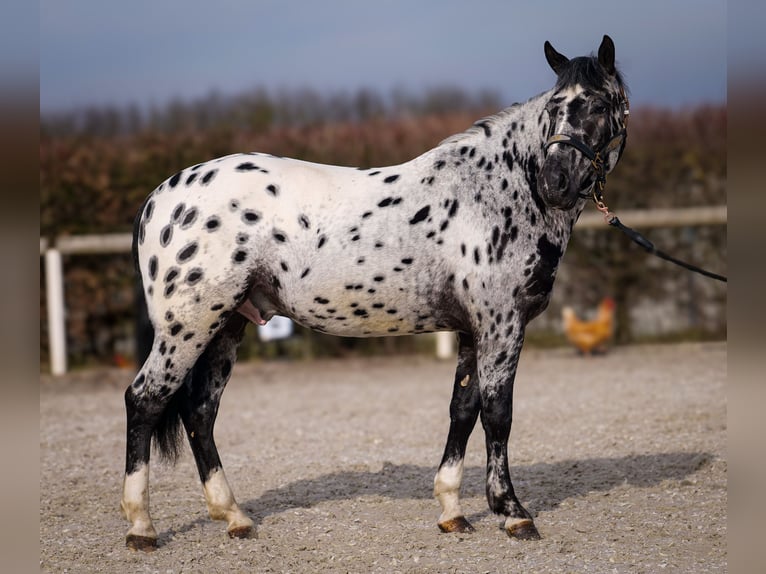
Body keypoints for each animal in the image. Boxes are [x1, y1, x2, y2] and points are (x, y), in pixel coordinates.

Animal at [121, 37, 632, 552]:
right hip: (189, 325)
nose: (555, 183)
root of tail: (158, 199)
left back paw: (234, 517)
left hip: (227, 324)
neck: (498, 190)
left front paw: (452, 511)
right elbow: (497, 414)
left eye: (599, 106)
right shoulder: (501, 323)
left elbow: (462, 411)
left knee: (200, 411)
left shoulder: (473, 330)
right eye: (554, 108)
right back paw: (141, 526)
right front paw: (512, 513)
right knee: (145, 399)